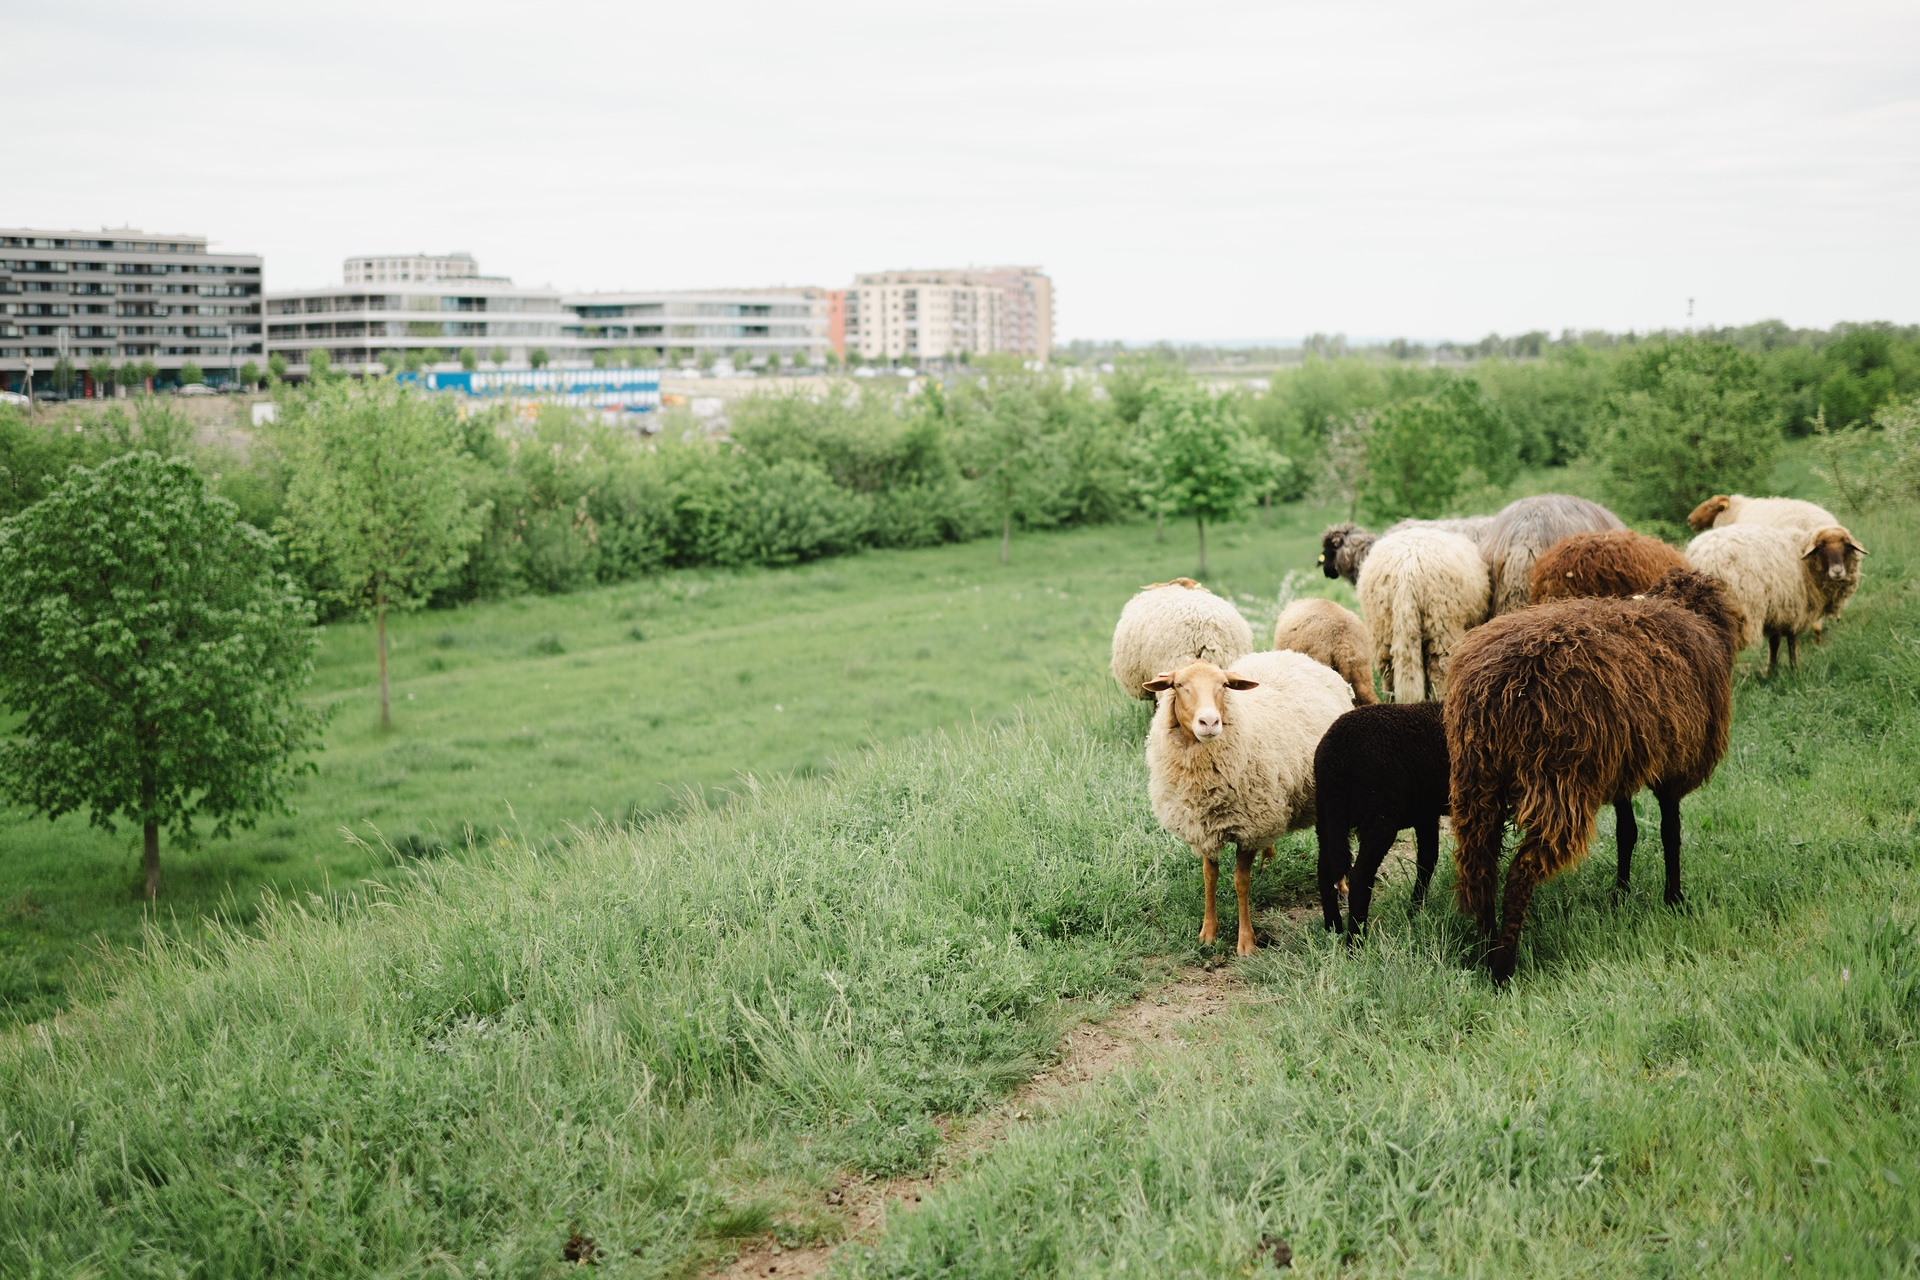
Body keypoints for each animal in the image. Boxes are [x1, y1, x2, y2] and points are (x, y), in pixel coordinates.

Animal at [1144, 650, 1354, 955]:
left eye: (1223, 685)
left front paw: (1246, 942)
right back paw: (1268, 862)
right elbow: (1209, 877)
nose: (1210, 722)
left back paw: (1341, 884)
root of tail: (1295, 655)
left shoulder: (1249, 827)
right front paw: (1208, 933)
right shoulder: (1205, 827)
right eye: (1179, 685)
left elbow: (1240, 882)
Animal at [1313, 701, 1449, 935]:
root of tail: (1337, 751)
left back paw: (1333, 929)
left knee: (1326, 871)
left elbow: (1427, 860)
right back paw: (1356, 940)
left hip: (1326, 816)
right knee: (1359, 877)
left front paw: (1415, 911)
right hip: (1379, 814)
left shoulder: (1427, 814)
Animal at [1445, 568, 1744, 983]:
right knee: (1520, 871)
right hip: (1555, 783)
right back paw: (1504, 966)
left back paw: (1487, 950)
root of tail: (1495, 690)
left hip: (1477, 779)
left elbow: (1627, 833)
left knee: (1480, 865)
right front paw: (1674, 899)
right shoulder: (1673, 769)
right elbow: (1671, 834)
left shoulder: (1620, 769)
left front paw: (1620, 894)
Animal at [1685, 524, 1866, 674]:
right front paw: (1795, 670)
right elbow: (1792, 641)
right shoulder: (1793, 608)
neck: (1804, 559)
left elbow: (1774, 642)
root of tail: (1704, 557)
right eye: (1821, 547)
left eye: (1846, 545)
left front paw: (1772, 671)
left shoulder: (1776, 612)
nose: (1837, 571)